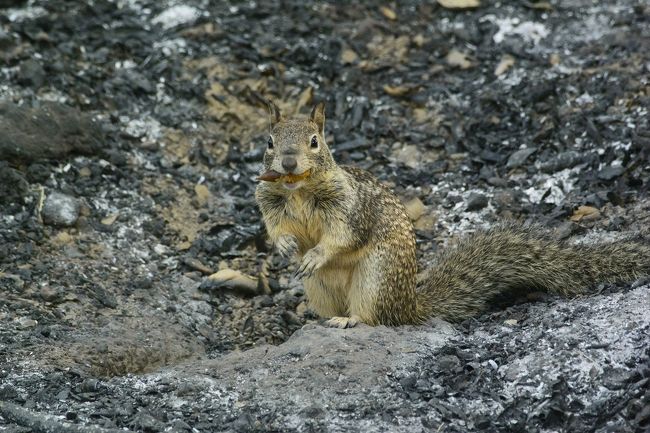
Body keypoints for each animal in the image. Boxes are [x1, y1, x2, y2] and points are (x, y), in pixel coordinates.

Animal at [253, 99, 648, 326]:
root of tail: (410, 306)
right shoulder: (269, 203)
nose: (288, 162)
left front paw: (316, 253)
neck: (299, 190)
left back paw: (350, 322)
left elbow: (342, 237)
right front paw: (286, 247)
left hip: (375, 280)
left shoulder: (351, 209)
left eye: (314, 141)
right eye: (269, 141)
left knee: (376, 319)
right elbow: (275, 227)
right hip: (319, 289)